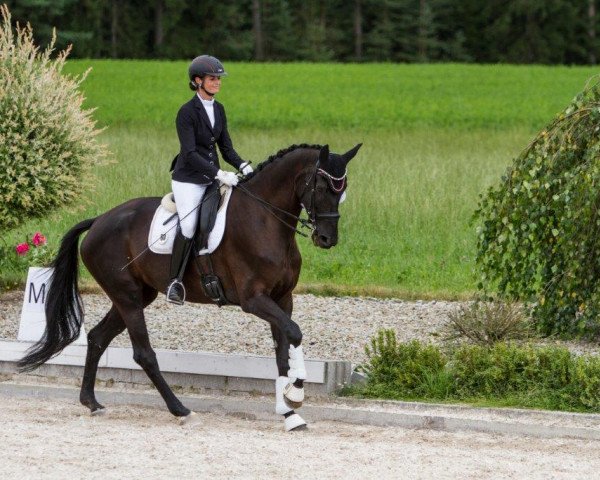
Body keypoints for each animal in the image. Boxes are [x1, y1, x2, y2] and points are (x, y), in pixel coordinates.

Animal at [18, 142, 364, 432]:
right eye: (322, 186)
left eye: (343, 189)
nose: (326, 239)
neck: (265, 219)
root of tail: (99, 220)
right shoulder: (254, 299)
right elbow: (295, 334)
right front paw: (296, 392)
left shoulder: (283, 298)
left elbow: (283, 350)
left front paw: (290, 413)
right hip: (127, 298)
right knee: (143, 353)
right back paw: (180, 410)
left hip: (136, 296)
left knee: (97, 337)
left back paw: (92, 403)